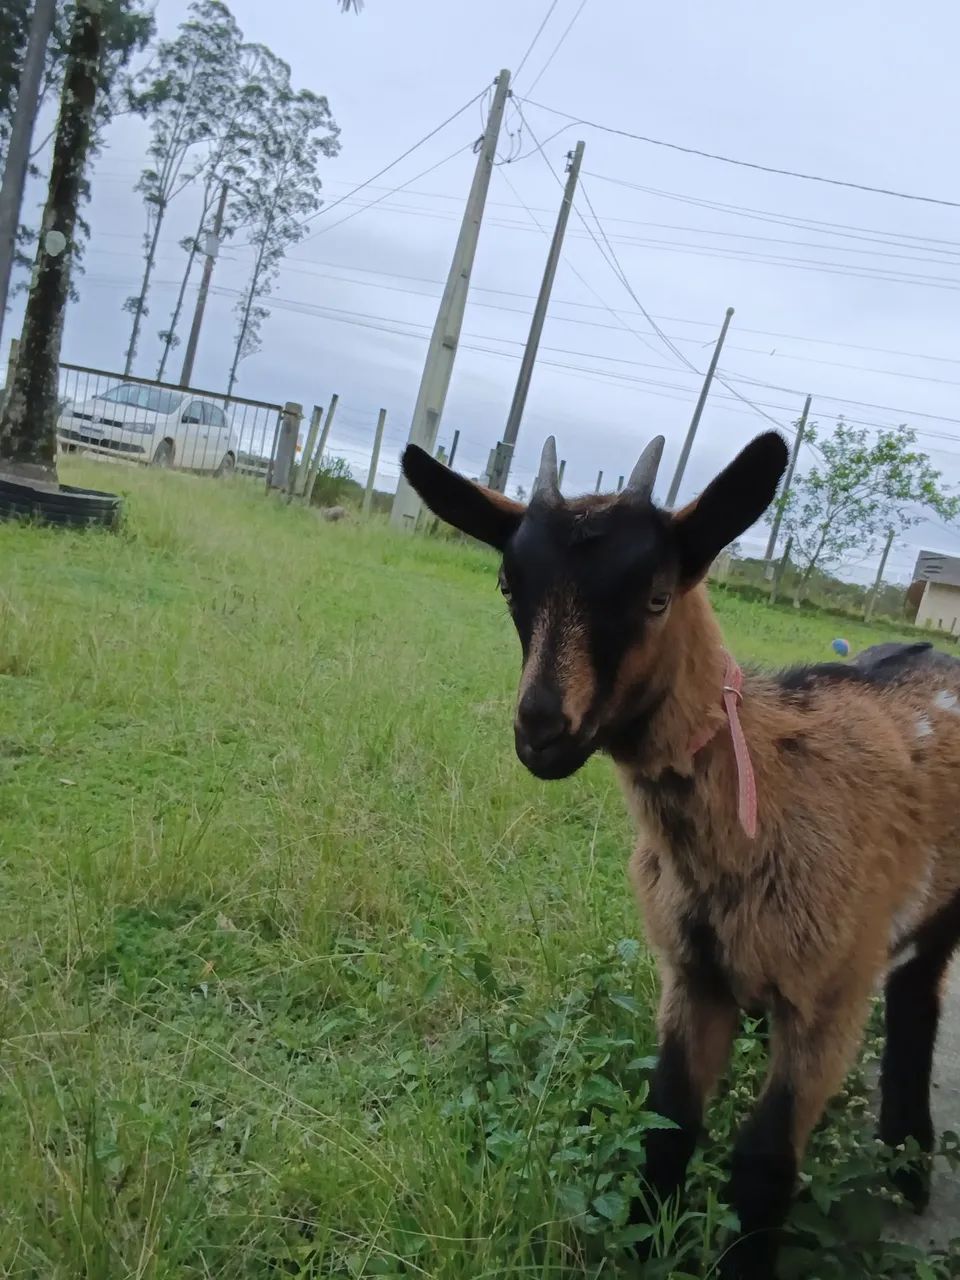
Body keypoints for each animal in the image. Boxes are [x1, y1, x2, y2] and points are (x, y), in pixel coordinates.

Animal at [400, 431, 960, 1280]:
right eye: (507, 584)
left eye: (657, 596)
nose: (541, 731)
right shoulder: (691, 974)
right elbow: (665, 1124)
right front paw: (641, 1242)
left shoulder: (829, 998)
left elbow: (763, 1160)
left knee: (918, 995)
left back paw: (908, 1167)